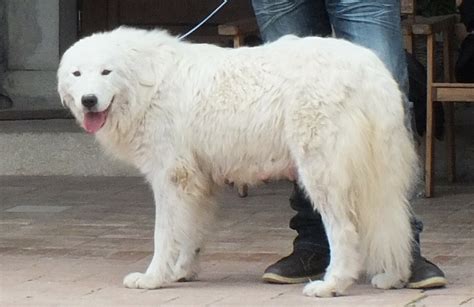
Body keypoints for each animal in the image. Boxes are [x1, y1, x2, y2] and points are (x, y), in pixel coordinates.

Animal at [59, 27, 418, 298]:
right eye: (77, 74)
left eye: (106, 72)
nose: (88, 100)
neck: (146, 83)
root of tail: (371, 69)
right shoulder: (197, 183)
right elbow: (190, 235)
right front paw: (181, 272)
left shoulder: (171, 179)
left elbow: (164, 235)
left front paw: (153, 278)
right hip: (377, 178)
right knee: (395, 223)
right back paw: (395, 276)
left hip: (322, 174)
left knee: (344, 231)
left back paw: (332, 285)